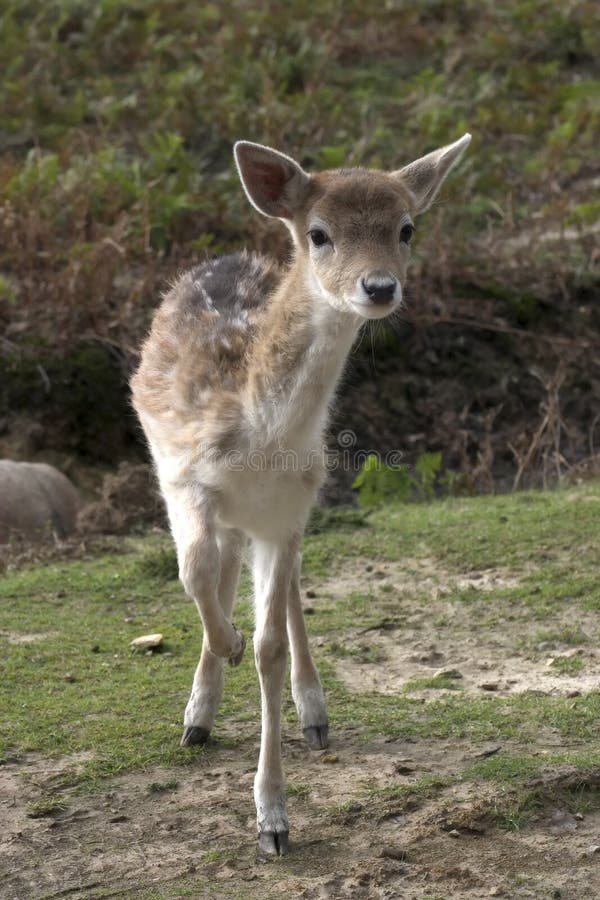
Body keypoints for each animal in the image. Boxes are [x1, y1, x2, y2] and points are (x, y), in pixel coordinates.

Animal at [129, 132, 472, 852]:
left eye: (406, 227)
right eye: (319, 233)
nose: (379, 285)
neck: (259, 434)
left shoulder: (290, 507)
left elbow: (271, 645)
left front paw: (273, 819)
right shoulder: (185, 478)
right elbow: (193, 573)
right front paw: (224, 651)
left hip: (290, 508)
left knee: (283, 590)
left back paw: (311, 712)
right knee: (218, 566)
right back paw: (199, 714)